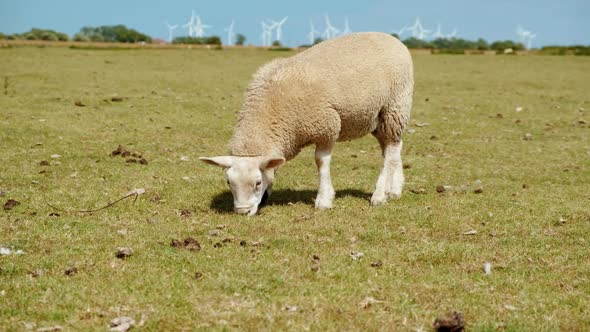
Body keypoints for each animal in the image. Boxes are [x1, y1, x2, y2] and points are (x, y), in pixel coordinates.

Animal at [204, 32, 416, 217]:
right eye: (228, 182)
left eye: (257, 183)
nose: (242, 212)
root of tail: (392, 39)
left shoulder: (326, 126)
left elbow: (321, 162)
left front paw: (324, 200)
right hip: (378, 119)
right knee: (392, 150)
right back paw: (394, 189)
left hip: (394, 107)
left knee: (390, 152)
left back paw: (379, 195)